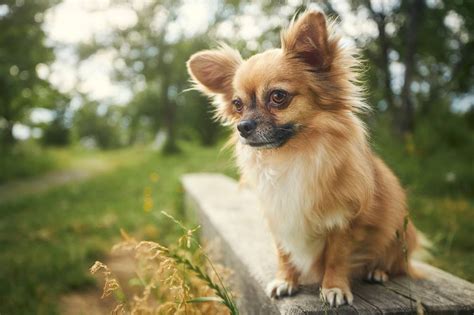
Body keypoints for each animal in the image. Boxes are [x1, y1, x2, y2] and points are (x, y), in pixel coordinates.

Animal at [187, 9, 420, 308]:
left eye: (278, 96)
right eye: (238, 105)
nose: (243, 126)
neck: (291, 155)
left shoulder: (345, 222)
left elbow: (337, 257)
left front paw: (334, 287)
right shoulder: (279, 216)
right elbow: (284, 253)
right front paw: (286, 280)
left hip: (399, 232)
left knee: (397, 263)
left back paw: (378, 271)